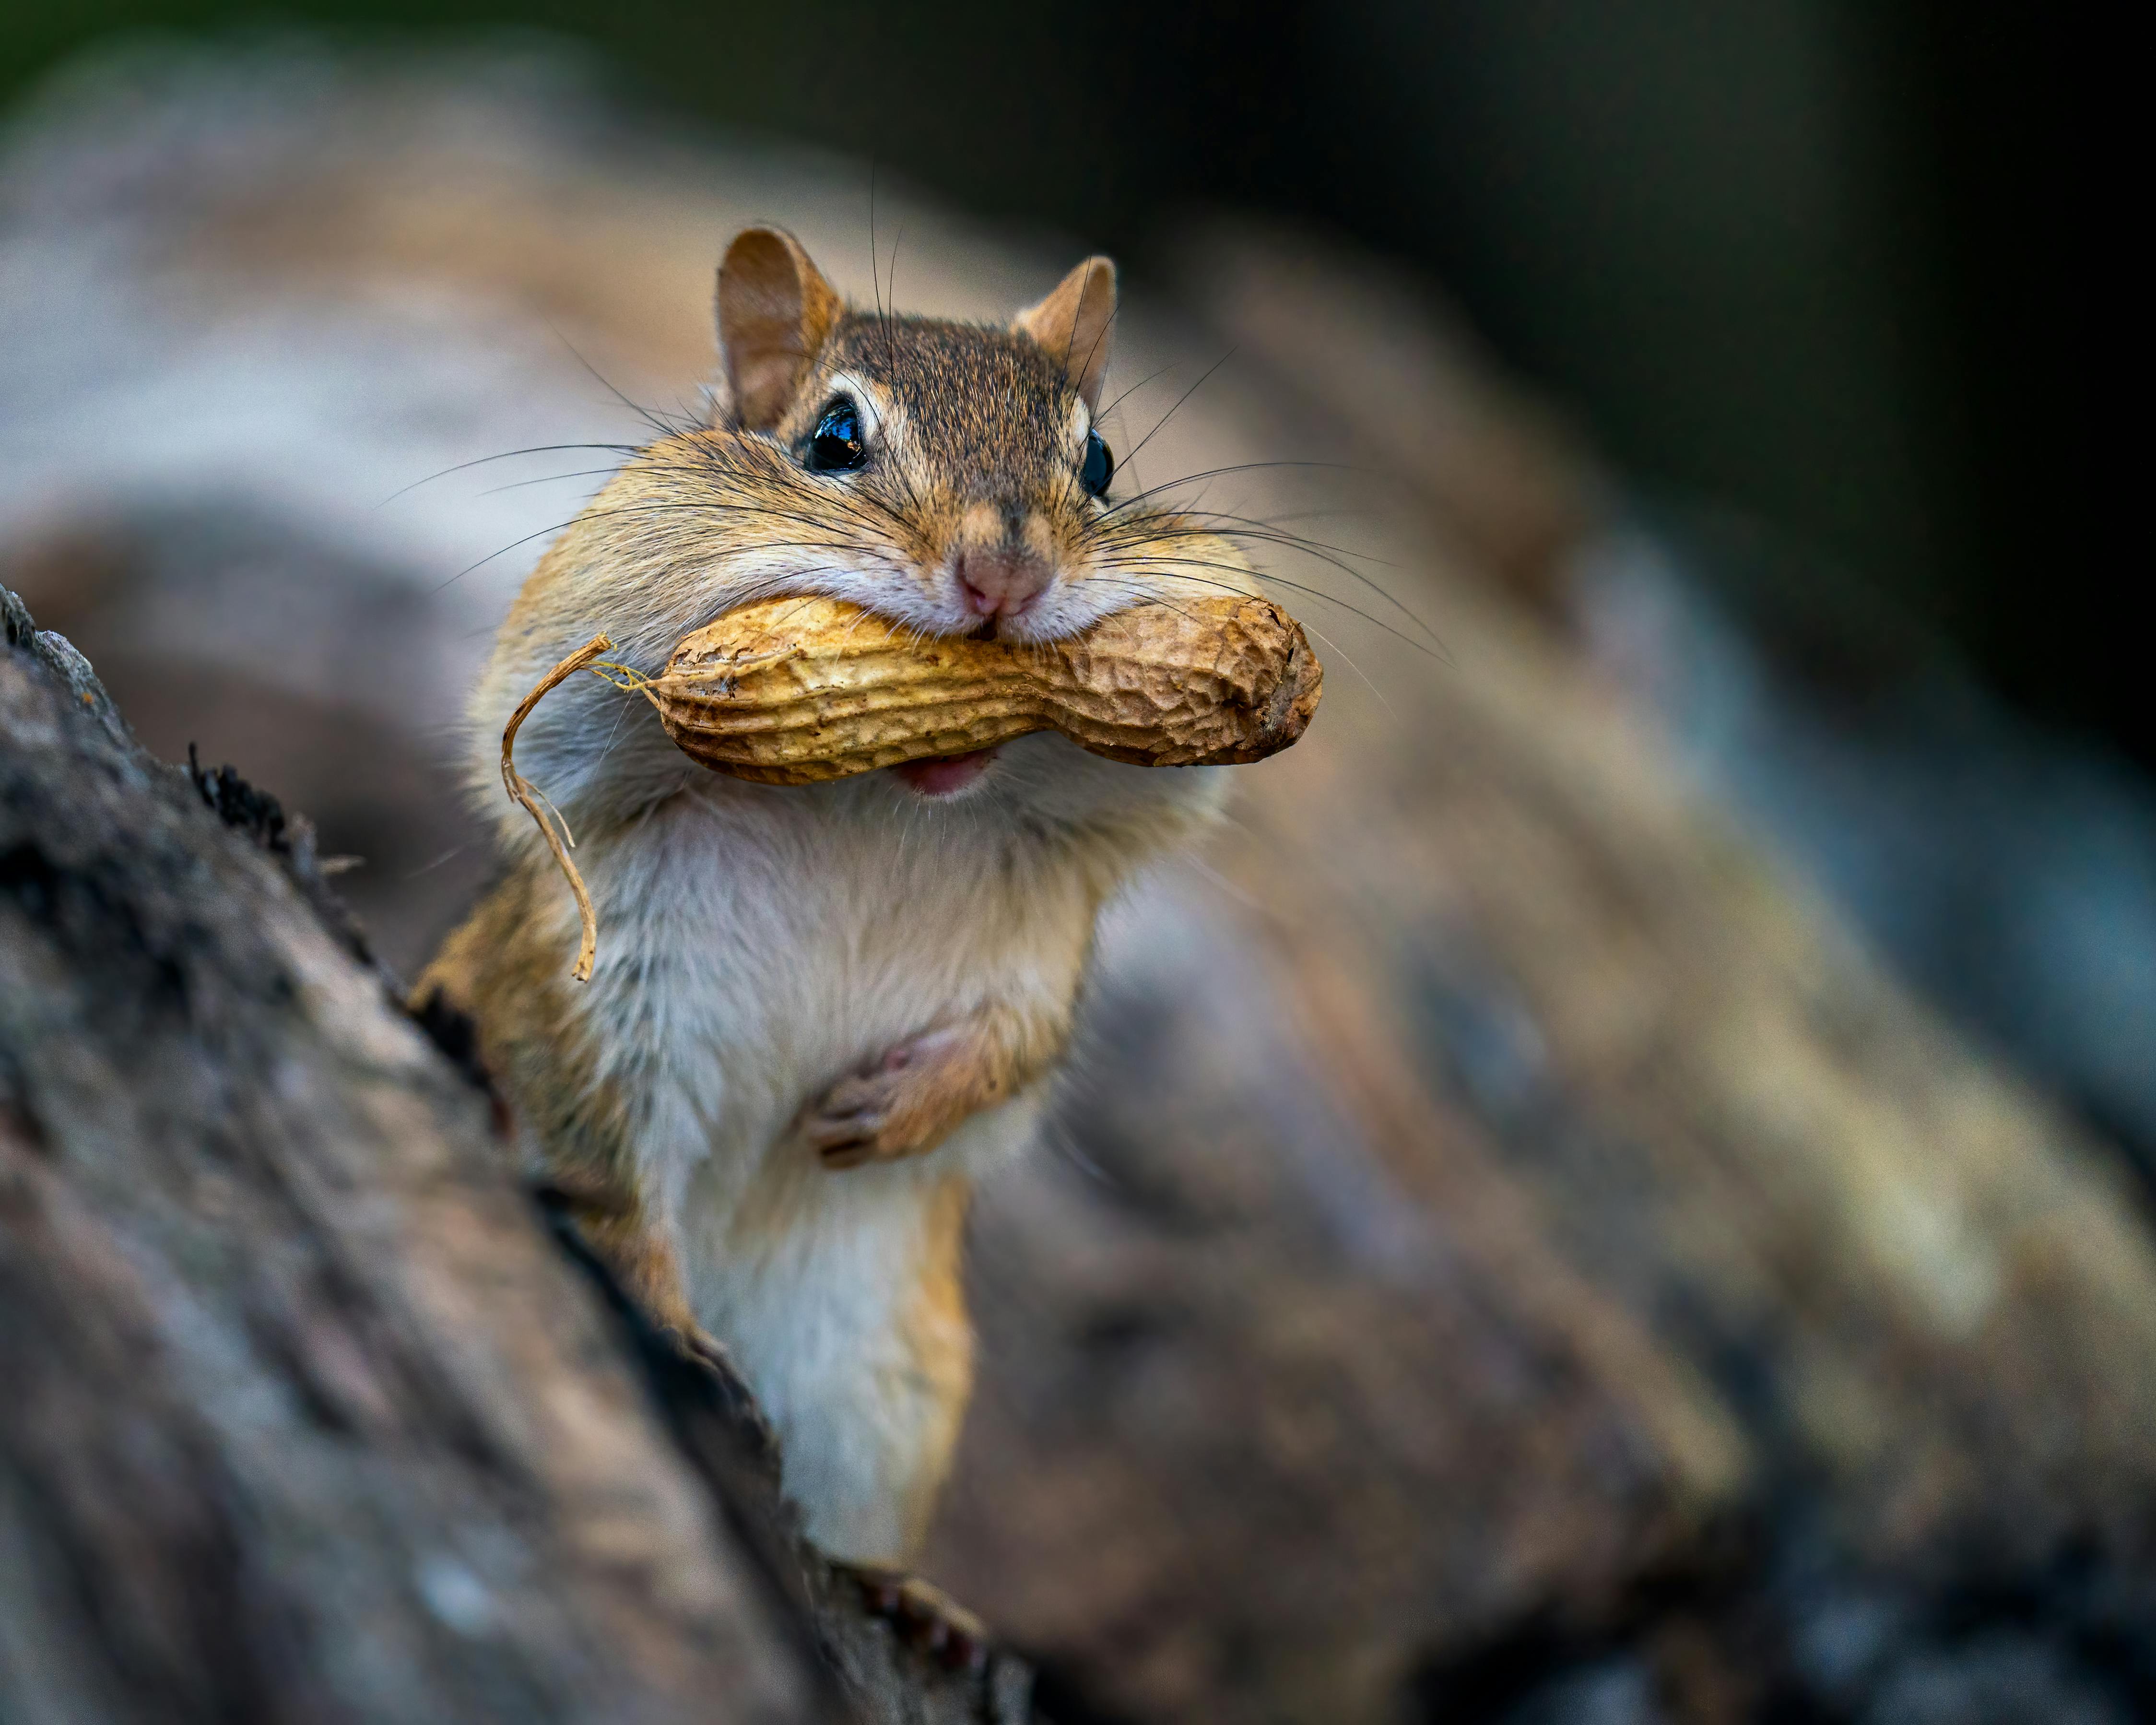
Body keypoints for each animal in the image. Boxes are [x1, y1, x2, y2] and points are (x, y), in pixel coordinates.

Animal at [418, 226, 1257, 1577]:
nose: (1005, 570)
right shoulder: (582, 980)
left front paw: (887, 1110)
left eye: (1101, 462)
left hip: (893, 1389)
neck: (870, 805)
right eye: (832, 438)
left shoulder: (1043, 945)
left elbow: (1022, 1046)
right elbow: (602, 1177)